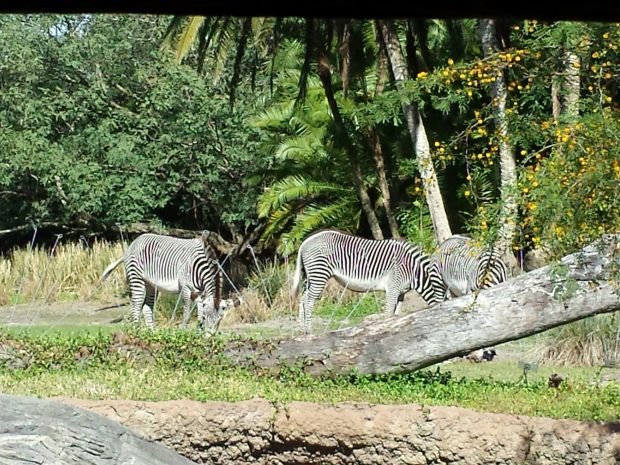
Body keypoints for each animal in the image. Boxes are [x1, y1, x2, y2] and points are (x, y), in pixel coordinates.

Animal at [100, 232, 241, 334]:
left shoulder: (200, 292)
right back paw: (136, 332)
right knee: (135, 306)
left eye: (219, 320)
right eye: (207, 318)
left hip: (151, 285)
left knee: (146, 307)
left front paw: (198, 333)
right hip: (137, 279)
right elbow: (187, 312)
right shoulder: (185, 288)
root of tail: (134, 242)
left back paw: (152, 334)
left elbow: (199, 311)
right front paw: (183, 331)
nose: (209, 338)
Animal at [290, 228, 446, 334]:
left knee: (303, 299)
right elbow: (388, 313)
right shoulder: (393, 287)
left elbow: (396, 314)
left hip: (311, 276)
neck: (414, 271)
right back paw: (309, 330)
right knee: (308, 301)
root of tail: (306, 241)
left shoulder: (401, 292)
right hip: (319, 274)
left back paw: (302, 331)